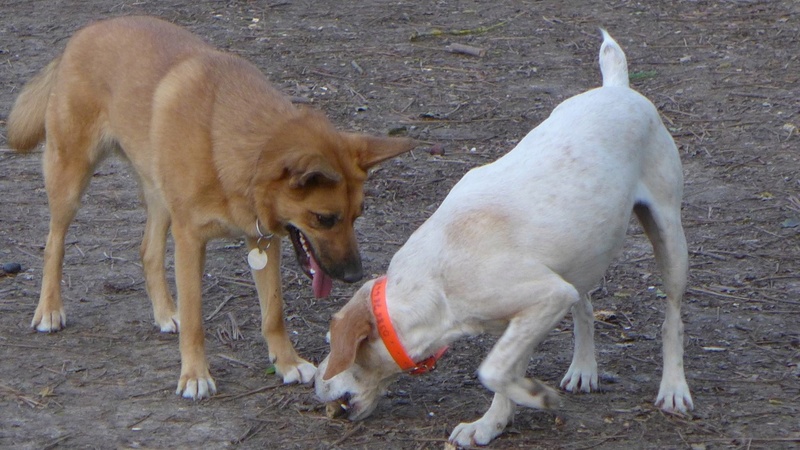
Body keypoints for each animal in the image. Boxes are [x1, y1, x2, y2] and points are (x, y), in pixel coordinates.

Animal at [6, 15, 416, 400]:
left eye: (357, 216)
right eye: (324, 218)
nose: (354, 275)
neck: (237, 145)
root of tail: (89, 30)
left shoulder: (263, 242)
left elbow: (274, 313)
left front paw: (286, 362)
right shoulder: (190, 241)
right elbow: (195, 319)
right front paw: (195, 375)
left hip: (159, 197)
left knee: (148, 251)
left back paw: (164, 311)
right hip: (70, 179)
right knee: (54, 245)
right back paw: (50, 309)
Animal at [316, 31, 692, 446]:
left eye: (333, 347)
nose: (315, 385)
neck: (436, 282)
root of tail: (617, 88)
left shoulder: (545, 297)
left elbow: (492, 370)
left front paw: (535, 396)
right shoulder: (529, 314)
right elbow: (503, 371)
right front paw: (491, 423)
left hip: (669, 239)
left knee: (672, 320)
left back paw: (674, 388)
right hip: (582, 257)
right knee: (585, 308)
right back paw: (583, 368)